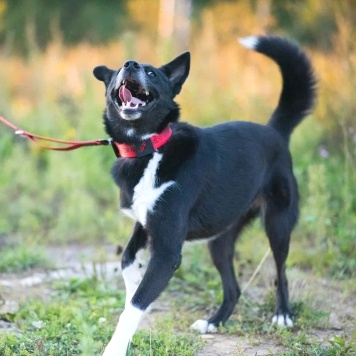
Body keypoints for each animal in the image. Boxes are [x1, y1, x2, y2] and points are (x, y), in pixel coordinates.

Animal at [94, 35, 314, 354]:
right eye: (117, 74)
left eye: (151, 73)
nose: (130, 64)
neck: (150, 149)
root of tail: (275, 131)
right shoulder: (145, 223)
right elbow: (126, 261)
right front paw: (133, 280)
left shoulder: (167, 251)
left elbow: (135, 304)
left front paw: (116, 346)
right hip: (220, 241)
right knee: (233, 289)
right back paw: (213, 322)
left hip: (278, 223)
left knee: (281, 272)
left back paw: (283, 315)